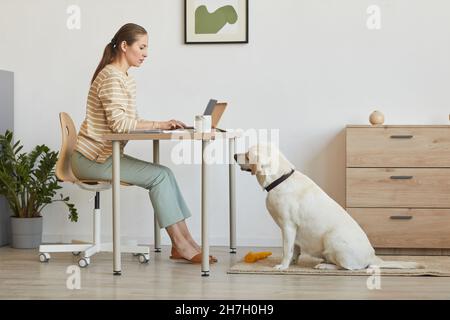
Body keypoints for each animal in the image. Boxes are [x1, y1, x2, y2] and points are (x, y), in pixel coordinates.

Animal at [234, 144, 424, 270]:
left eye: (247, 154)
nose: (235, 155)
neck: (280, 179)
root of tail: (373, 257)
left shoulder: (288, 226)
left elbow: (287, 249)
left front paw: (283, 266)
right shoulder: (295, 231)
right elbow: (295, 249)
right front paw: (293, 263)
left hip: (332, 238)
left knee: (349, 268)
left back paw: (326, 266)